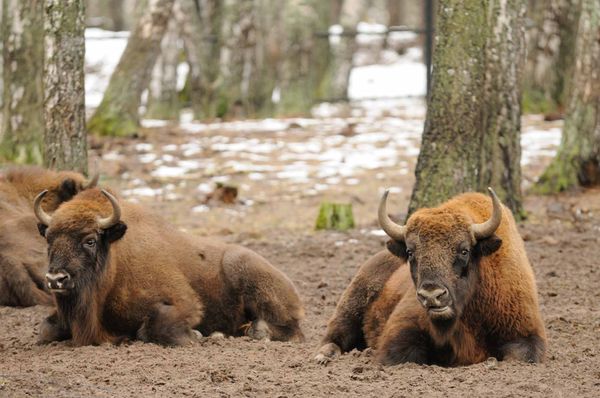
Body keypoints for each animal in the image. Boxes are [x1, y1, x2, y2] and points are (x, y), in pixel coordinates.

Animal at [33, 187, 304, 346]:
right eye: (49, 239)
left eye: (90, 240)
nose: (56, 279)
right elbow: (45, 330)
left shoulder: (184, 302)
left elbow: (151, 329)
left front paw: (196, 335)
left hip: (244, 272)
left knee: (292, 330)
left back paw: (253, 331)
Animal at [316, 188, 548, 366]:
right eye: (410, 252)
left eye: (464, 250)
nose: (432, 295)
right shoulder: (402, 328)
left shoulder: (526, 332)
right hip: (351, 306)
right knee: (334, 337)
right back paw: (323, 357)